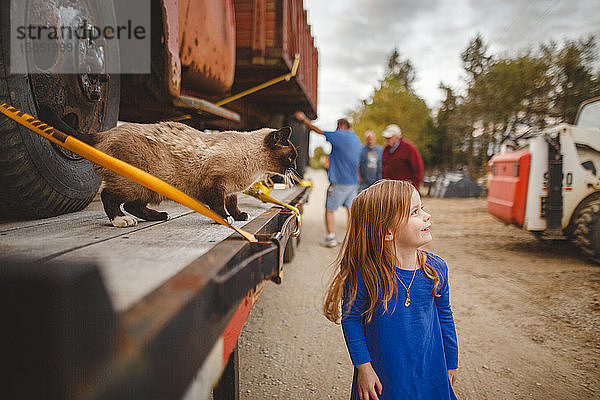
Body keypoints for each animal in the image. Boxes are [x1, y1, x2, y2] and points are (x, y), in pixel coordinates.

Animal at [38, 106, 296, 228]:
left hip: (149, 188)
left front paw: (240, 216)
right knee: (109, 197)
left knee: (133, 205)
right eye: (292, 157)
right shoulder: (215, 184)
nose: (294, 169)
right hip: (134, 183)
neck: (254, 168)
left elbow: (232, 204)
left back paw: (160, 216)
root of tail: (105, 133)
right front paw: (226, 220)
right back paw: (121, 221)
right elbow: (219, 207)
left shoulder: (230, 190)